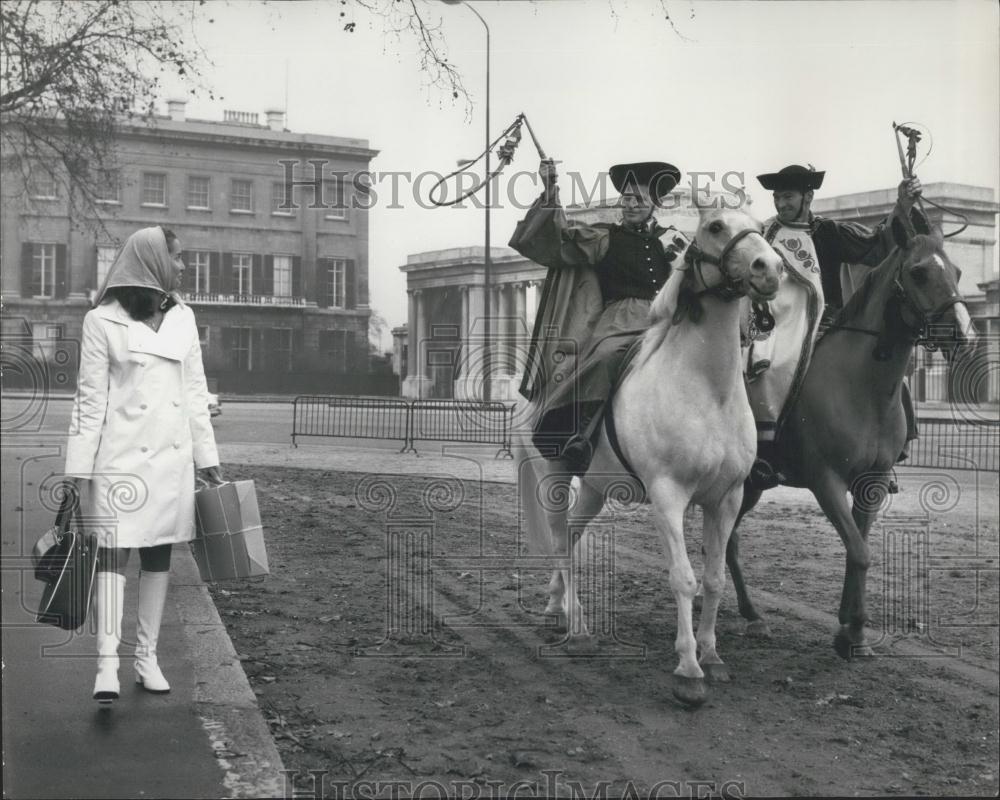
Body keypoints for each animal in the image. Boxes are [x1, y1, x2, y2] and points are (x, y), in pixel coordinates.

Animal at [520, 202, 784, 708]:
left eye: (761, 228)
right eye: (715, 226)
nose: (771, 268)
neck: (708, 390)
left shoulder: (726, 499)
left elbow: (715, 578)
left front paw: (712, 655)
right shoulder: (668, 497)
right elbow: (683, 577)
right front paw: (688, 669)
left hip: (595, 487)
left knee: (573, 537)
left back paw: (557, 606)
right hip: (553, 480)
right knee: (561, 542)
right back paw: (579, 629)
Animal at [728, 212, 976, 656]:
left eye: (958, 271)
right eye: (919, 272)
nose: (963, 336)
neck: (861, 387)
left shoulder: (871, 482)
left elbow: (857, 548)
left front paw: (852, 630)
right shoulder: (825, 480)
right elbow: (859, 552)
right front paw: (854, 630)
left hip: (752, 485)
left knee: (730, 538)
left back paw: (751, 614)